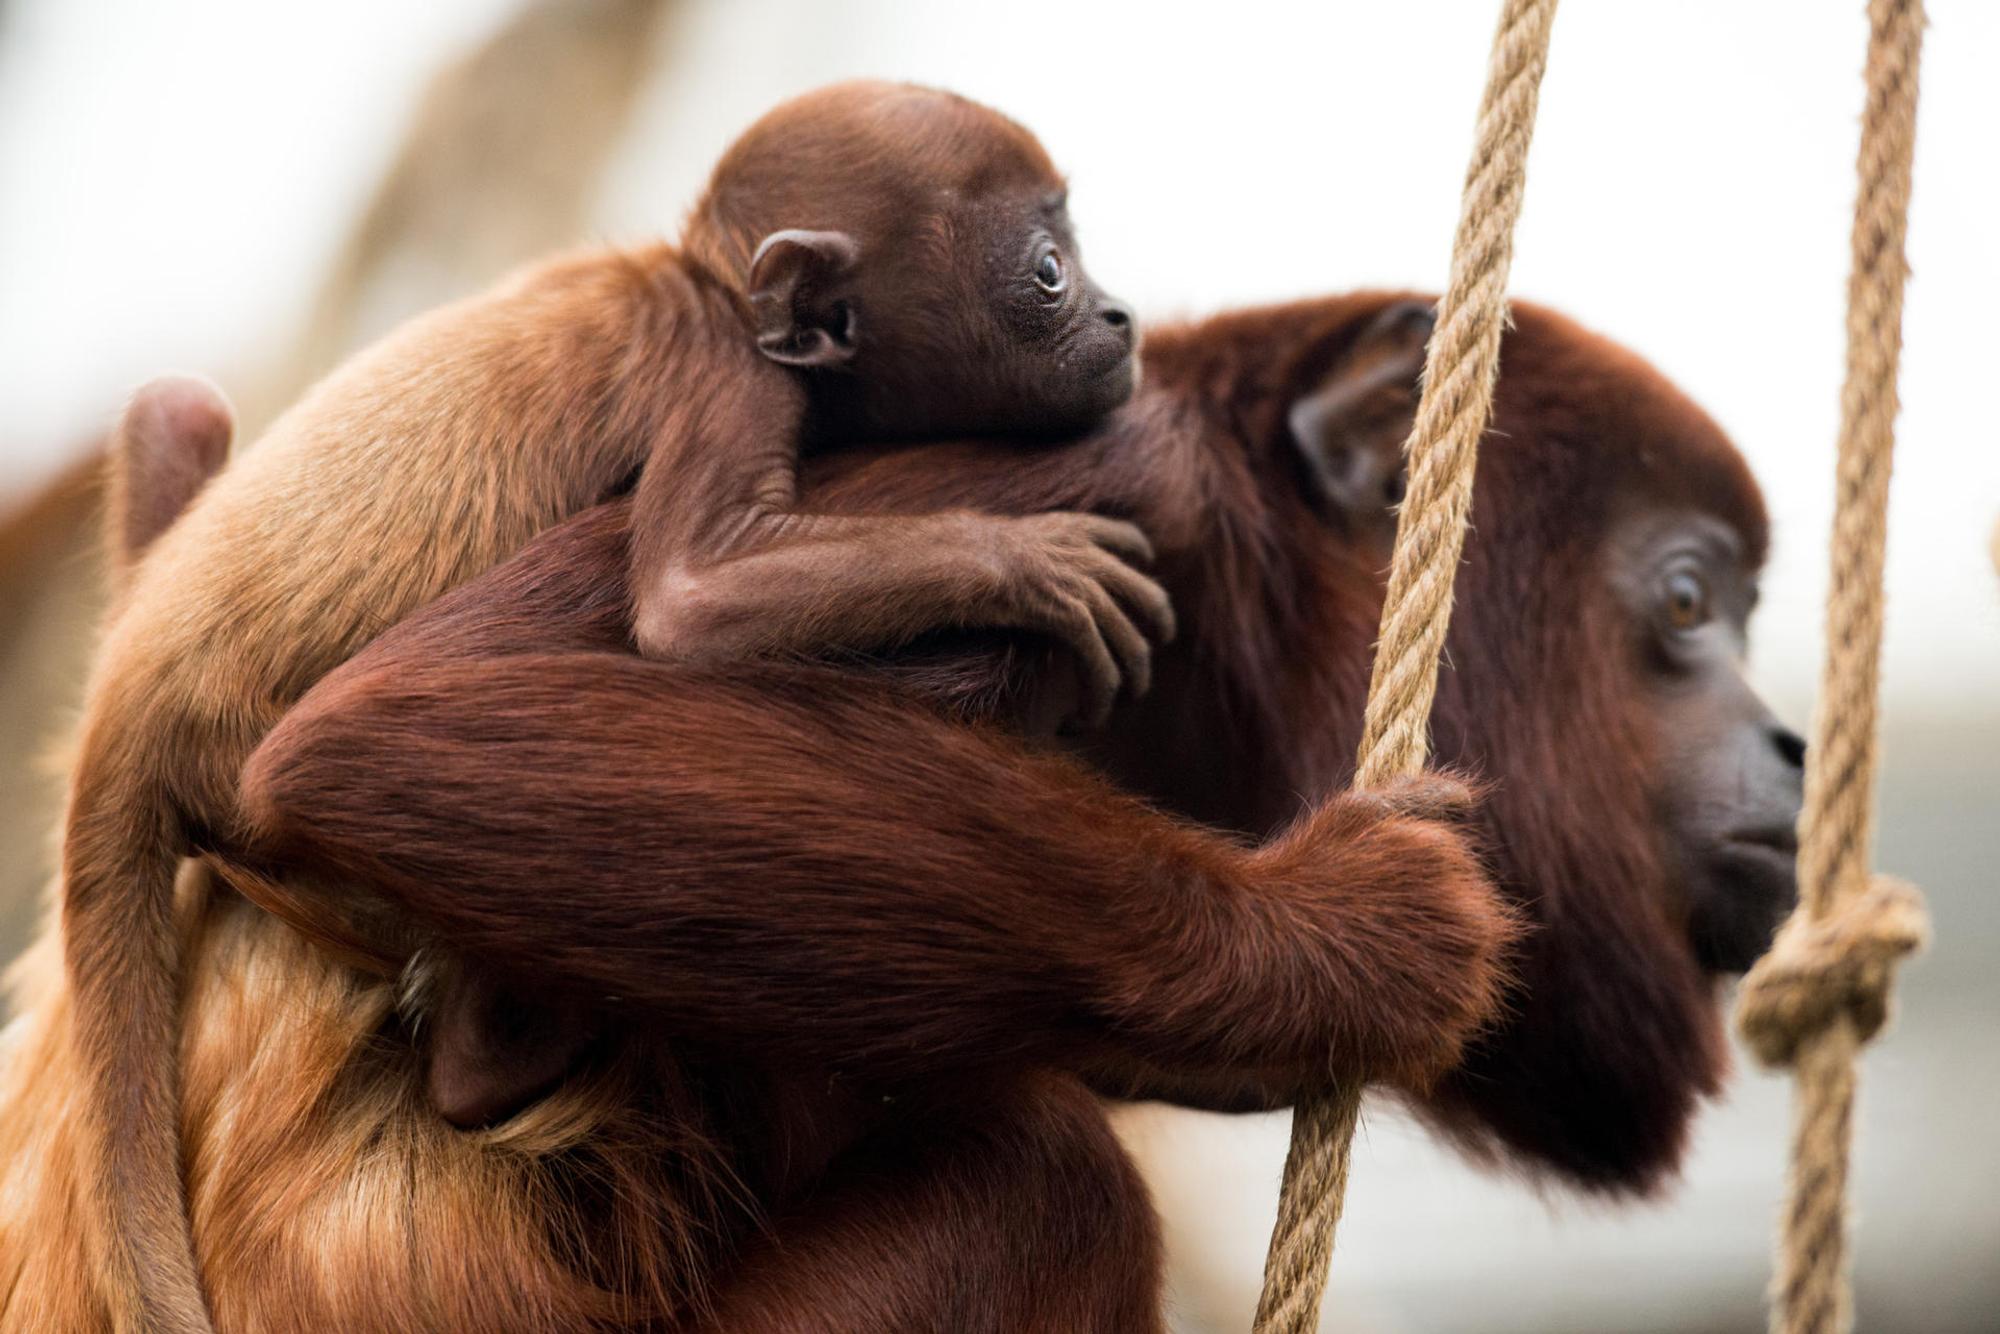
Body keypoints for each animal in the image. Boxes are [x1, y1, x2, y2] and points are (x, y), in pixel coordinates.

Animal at [58, 81, 1170, 1333]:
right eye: (1046, 270)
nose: (1121, 314)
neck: (706, 283)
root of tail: (133, 686)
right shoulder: (729, 380)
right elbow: (690, 601)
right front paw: (1023, 564)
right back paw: (489, 1054)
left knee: (176, 408)